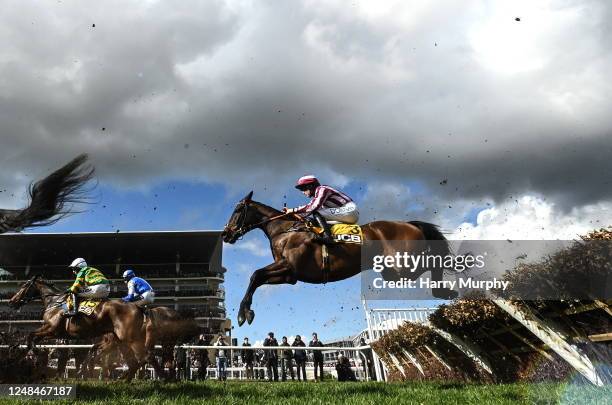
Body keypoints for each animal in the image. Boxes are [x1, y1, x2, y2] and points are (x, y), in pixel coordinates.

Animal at [8, 274, 165, 378]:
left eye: (24, 286)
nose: (11, 301)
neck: (55, 301)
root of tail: (139, 308)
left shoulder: (52, 329)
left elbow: (30, 336)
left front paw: (36, 353)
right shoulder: (51, 331)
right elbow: (31, 338)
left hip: (129, 339)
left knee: (143, 358)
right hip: (121, 340)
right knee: (136, 360)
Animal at [222, 190, 456, 326]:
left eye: (237, 209)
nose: (226, 234)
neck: (285, 230)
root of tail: (409, 224)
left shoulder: (289, 266)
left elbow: (255, 274)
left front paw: (243, 314)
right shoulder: (290, 276)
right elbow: (257, 277)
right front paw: (246, 312)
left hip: (403, 265)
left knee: (432, 261)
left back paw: (445, 289)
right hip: (391, 272)